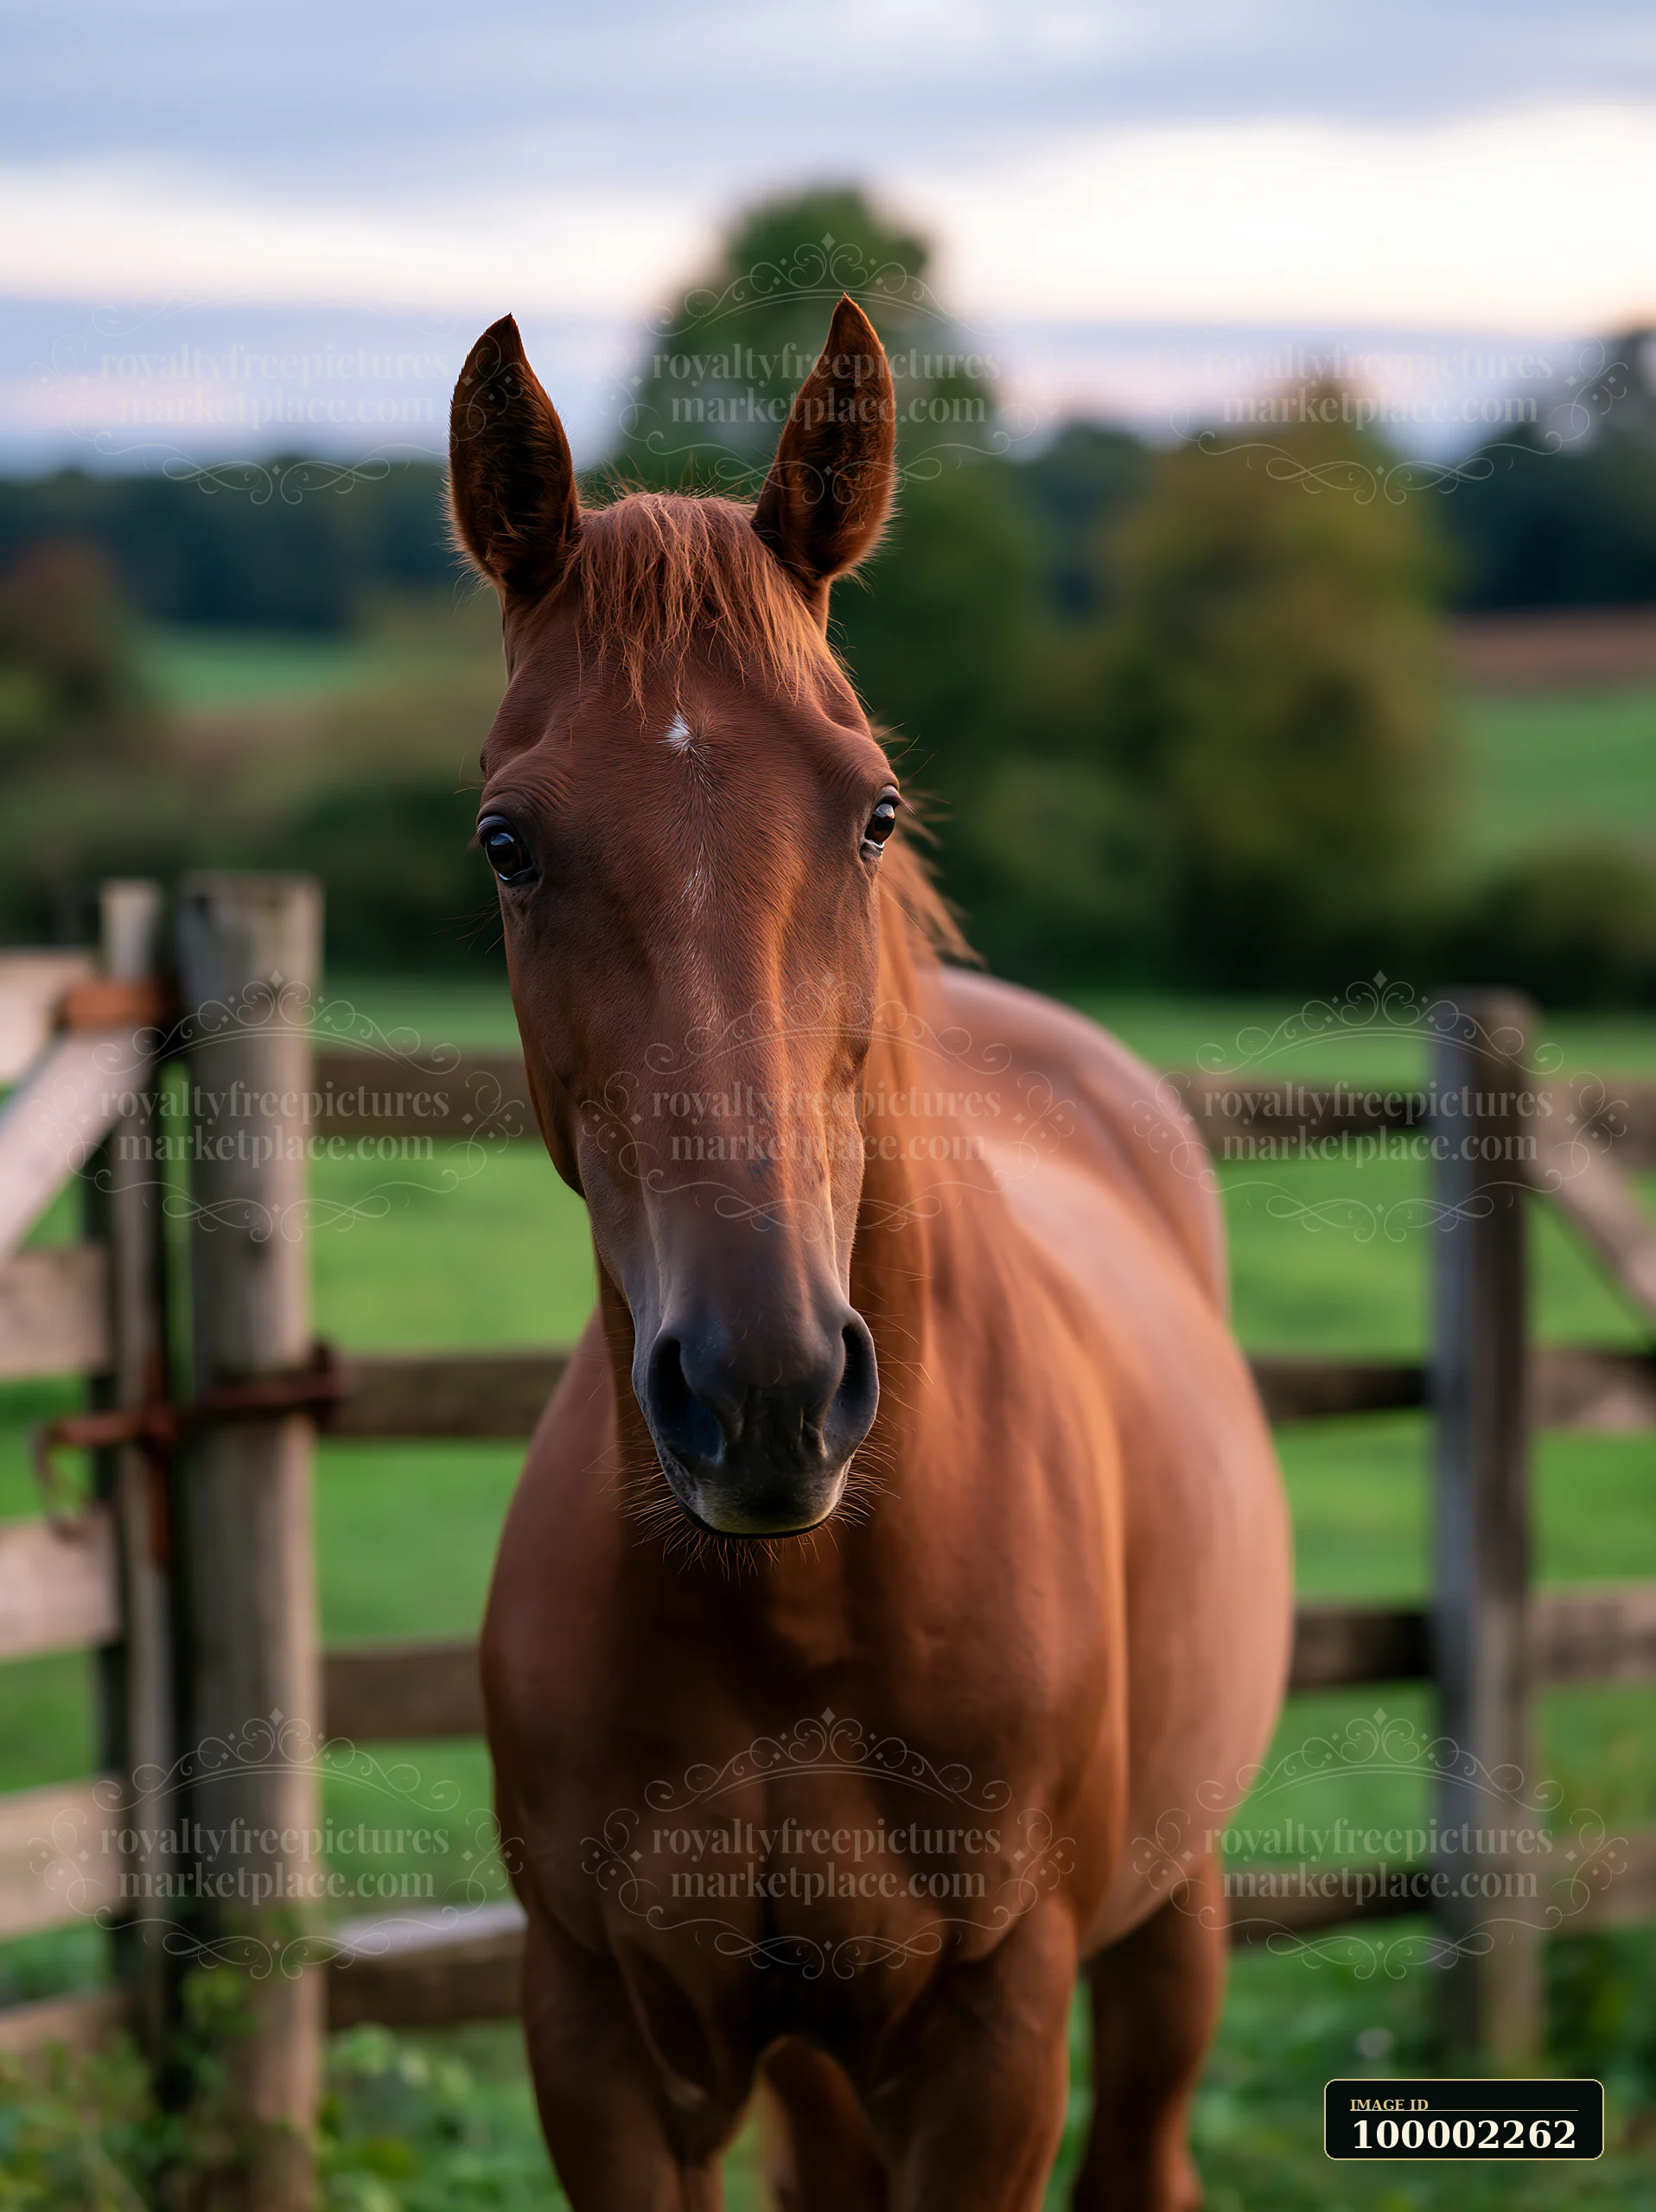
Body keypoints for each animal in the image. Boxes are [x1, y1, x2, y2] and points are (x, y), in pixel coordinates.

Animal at [451, 296, 1291, 2211]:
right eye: (509, 840)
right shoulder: (595, 2033)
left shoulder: (996, 2038)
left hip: (1171, 1926)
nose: (763, 1391)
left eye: (875, 811)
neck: (795, 1616)